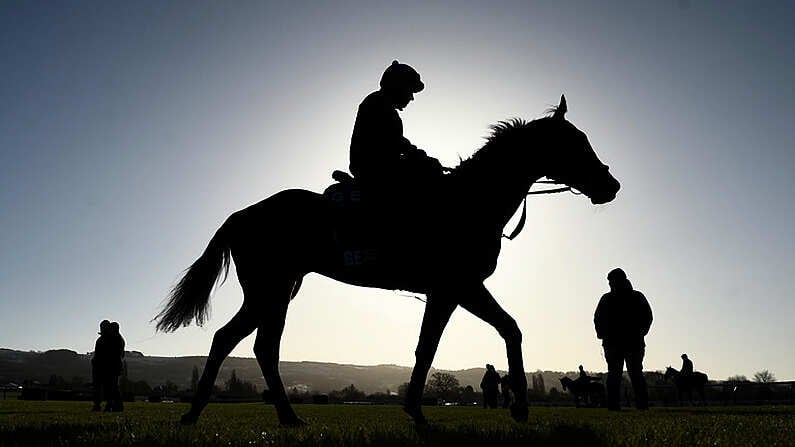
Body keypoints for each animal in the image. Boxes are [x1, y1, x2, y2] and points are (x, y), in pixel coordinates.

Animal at [154, 95, 620, 428]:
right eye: (575, 142)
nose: (610, 185)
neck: (469, 202)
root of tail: (244, 213)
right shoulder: (459, 287)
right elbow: (463, 340)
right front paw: (509, 407)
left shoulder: (451, 292)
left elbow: (458, 340)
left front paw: (425, 408)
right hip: (270, 289)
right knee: (246, 344)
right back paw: (235, 414)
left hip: (277, 291)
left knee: (245, 343)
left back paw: (253, 415)